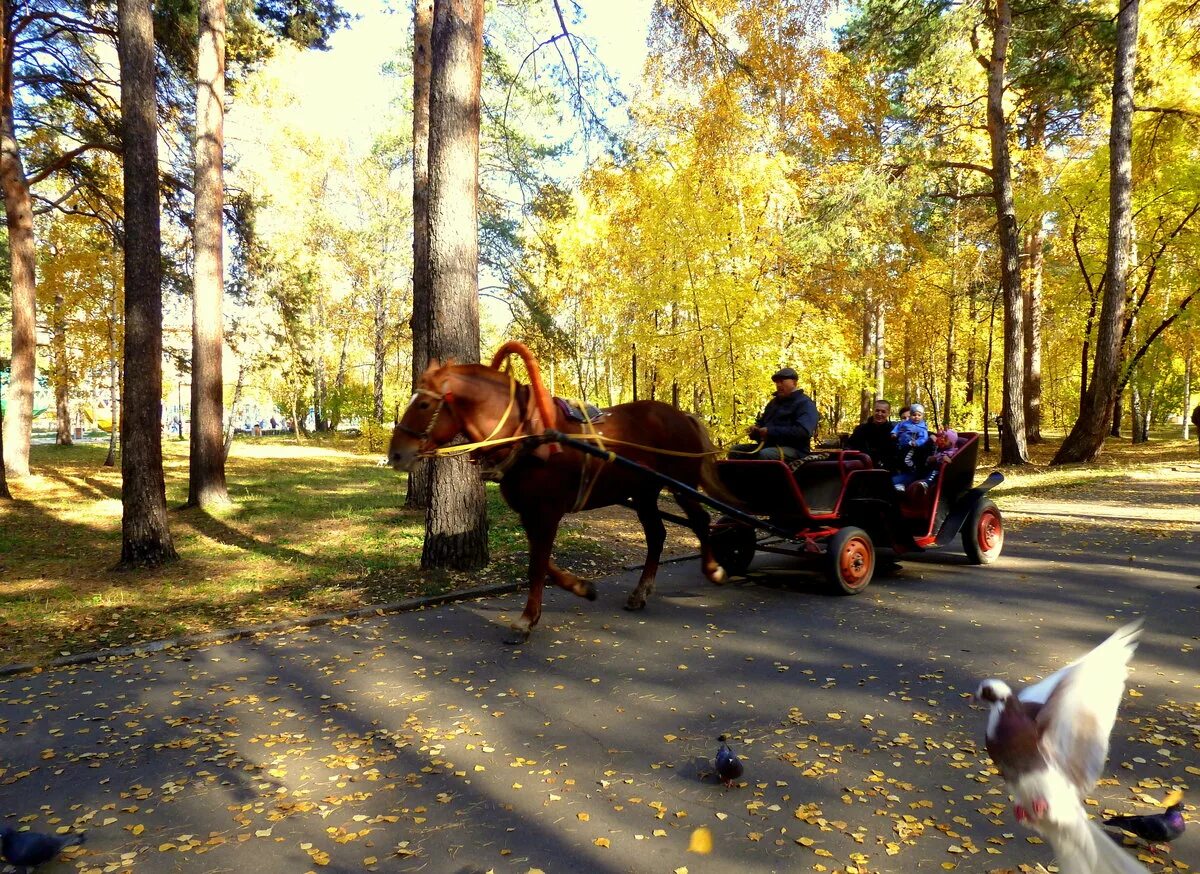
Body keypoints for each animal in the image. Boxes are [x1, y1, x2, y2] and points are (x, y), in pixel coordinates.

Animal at [388, 340, 734, 643]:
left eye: (424, 404)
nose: (396, 454)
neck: (526, 435)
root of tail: (681, 415)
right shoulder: (529, 511)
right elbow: (542, 562)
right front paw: (581, 587)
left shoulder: (547, 511)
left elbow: (537, 565)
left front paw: (526, 620)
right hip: (645, 492)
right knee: (657, 535)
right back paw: (640, 592)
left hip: (681, 486)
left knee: (701, 521)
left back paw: (714, 569)